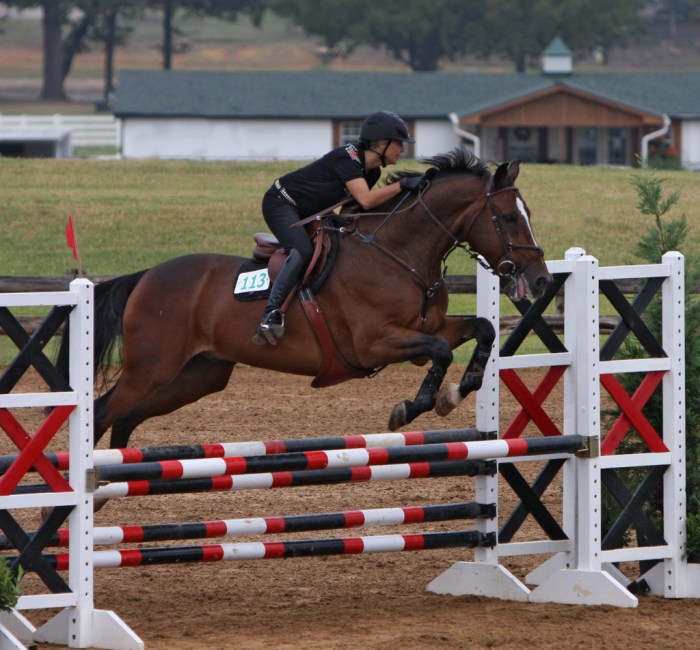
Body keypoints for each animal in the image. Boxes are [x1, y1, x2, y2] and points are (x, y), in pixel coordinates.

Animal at [57, 149, 552, 448]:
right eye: (509, 217)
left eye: (527, 212)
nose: (542, 279)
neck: (400, 254)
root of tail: (145, 277)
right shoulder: (374, 343)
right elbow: (441, 351)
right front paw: (411, 408)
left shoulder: (424, 330)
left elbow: (480, 330)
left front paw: (456, 393)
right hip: (152, 368)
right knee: (105, 410)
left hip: (198, 374)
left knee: (126, 418)